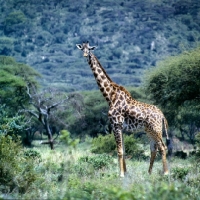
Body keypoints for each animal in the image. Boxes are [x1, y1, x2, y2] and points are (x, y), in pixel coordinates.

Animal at [76, 41, 170, 177]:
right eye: (81, 49)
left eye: (89, 49)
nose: (84, 55)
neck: (110, 96)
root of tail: (162, 114)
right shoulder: (121, 127)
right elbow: (124, 150)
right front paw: (125, 173)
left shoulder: (116, 124)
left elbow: (119, 150)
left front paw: (120, 174)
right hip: (149, 130)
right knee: (154, 149)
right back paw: (149, 173)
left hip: (156, 129)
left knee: (162, 147)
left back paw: (166, 173)